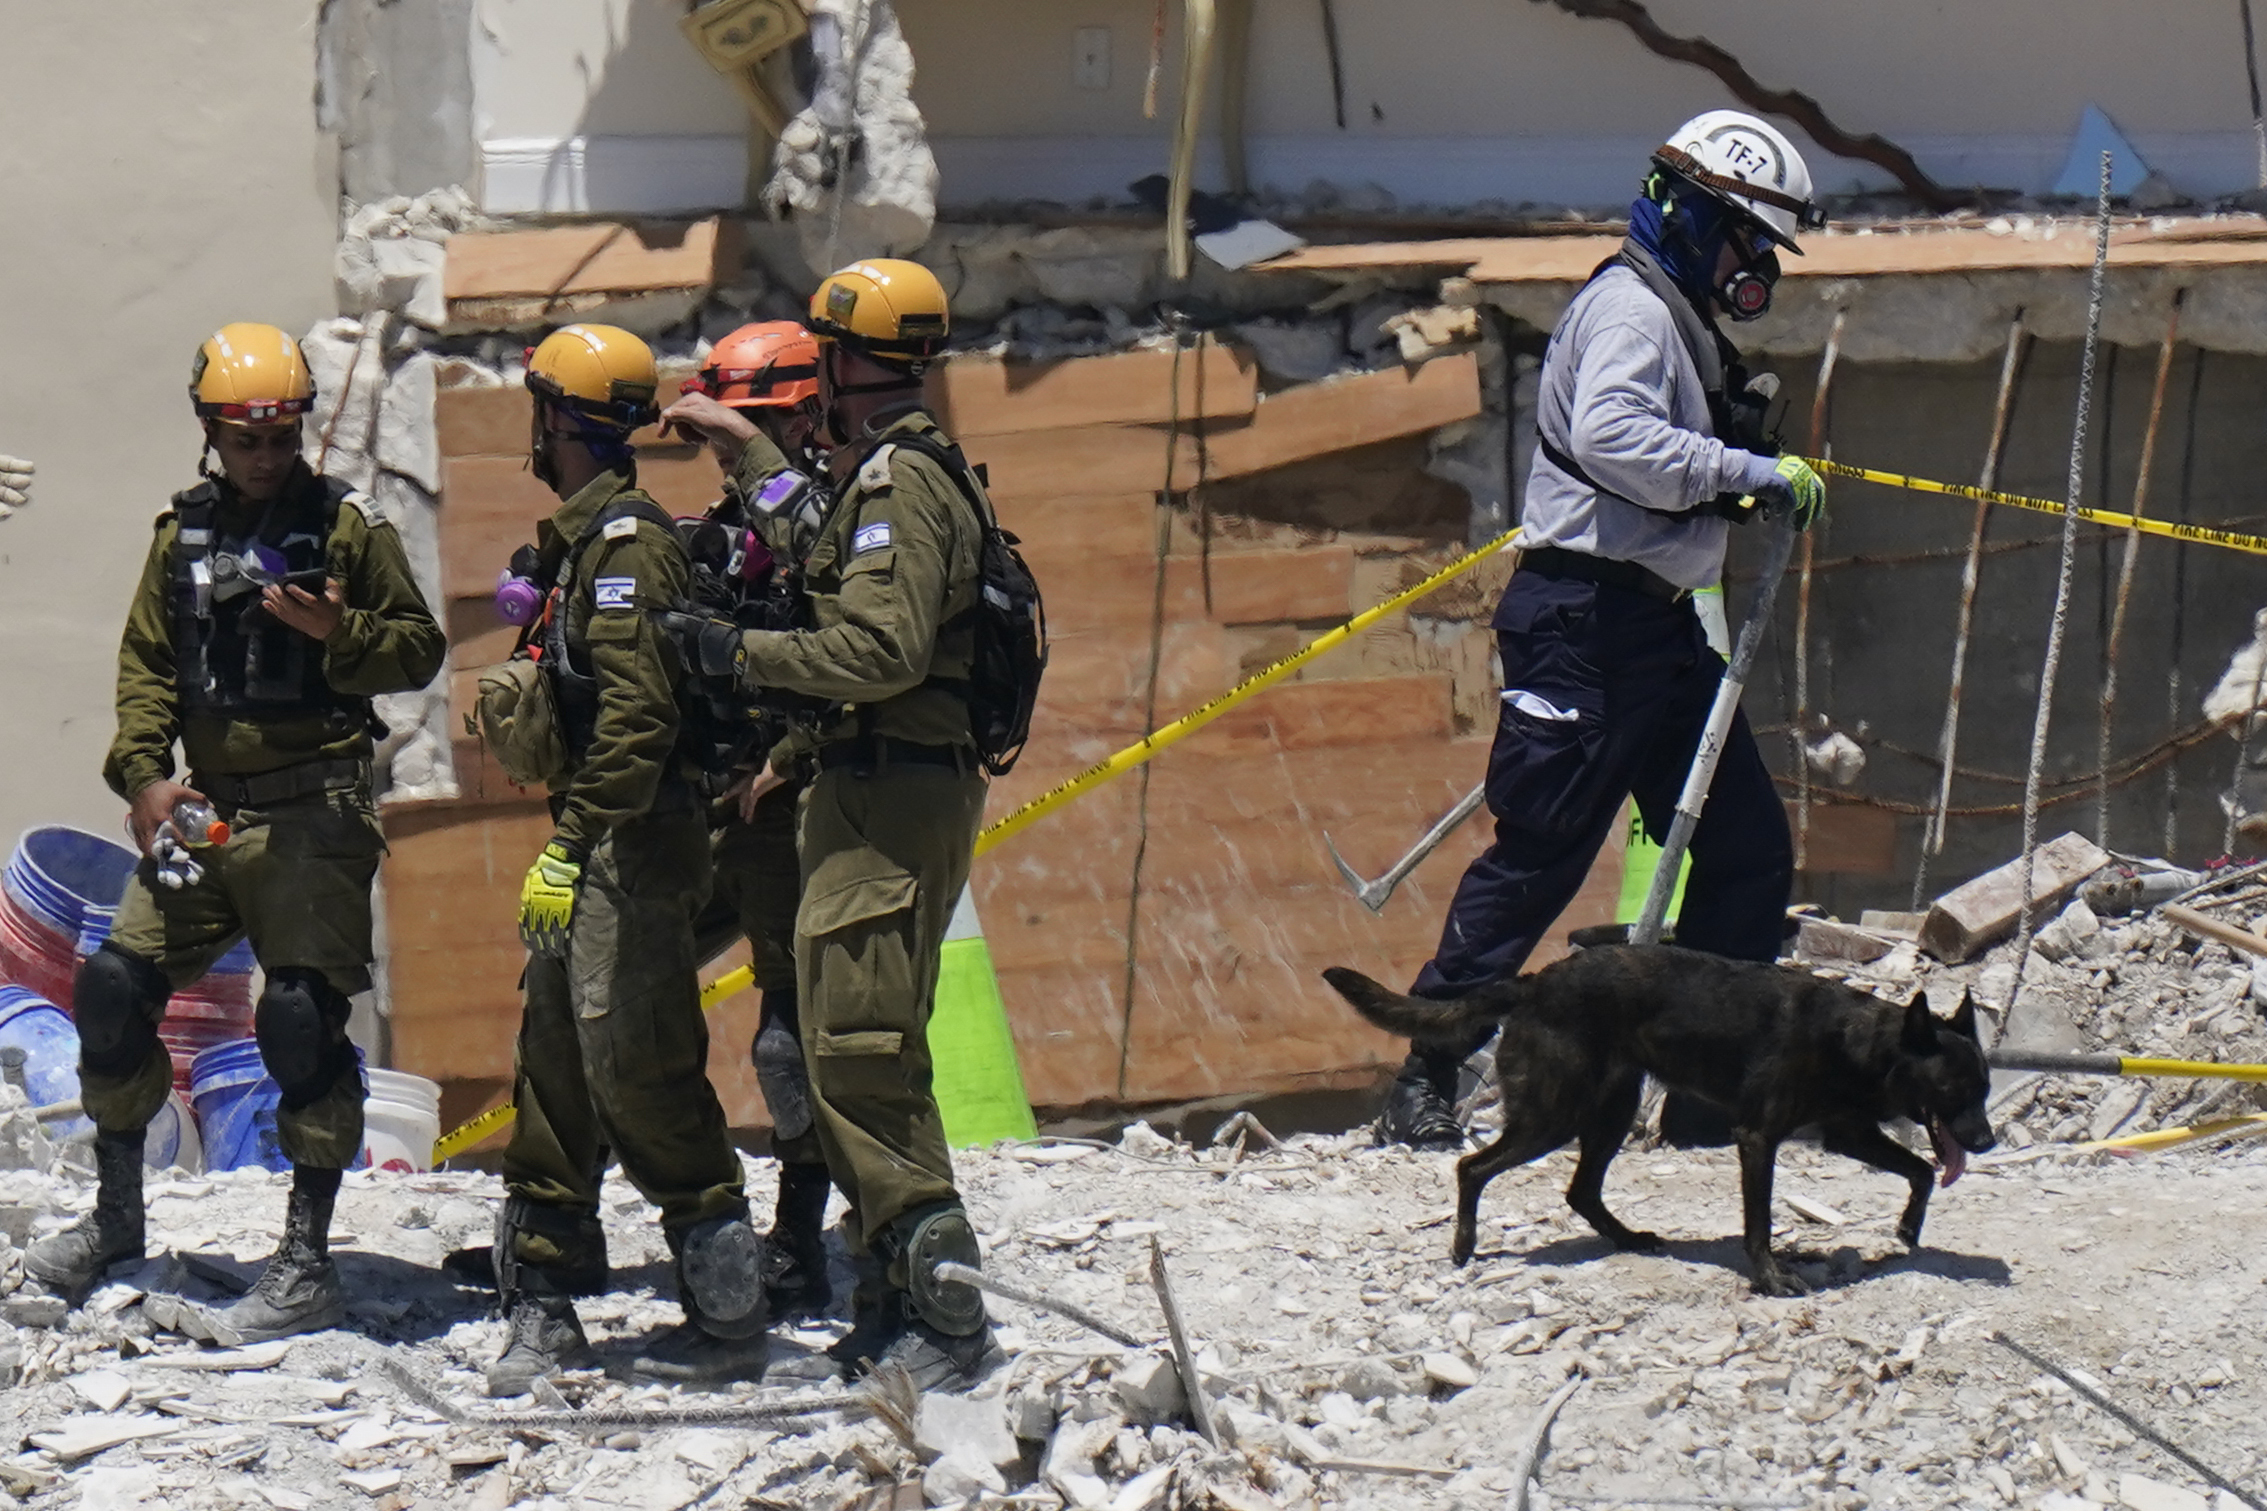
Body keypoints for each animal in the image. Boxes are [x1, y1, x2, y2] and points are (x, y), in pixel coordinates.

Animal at [1323, 946, 2004, 1286]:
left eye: (1985, 1088)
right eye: (1954, 1088)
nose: (1988, 1141)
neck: (1861, 1042)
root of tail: (1535, 982)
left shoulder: (1850, 1134)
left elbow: (1921, 1171)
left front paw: (1909, 1229)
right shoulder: (1758, 1139)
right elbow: (1760, 1222)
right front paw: (1770, 1277)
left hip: (1609, 1113)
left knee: (1580, 1191)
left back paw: (1626, 1238)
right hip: (1553, 1116)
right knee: (1472, 1167)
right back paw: (1464, 1246)